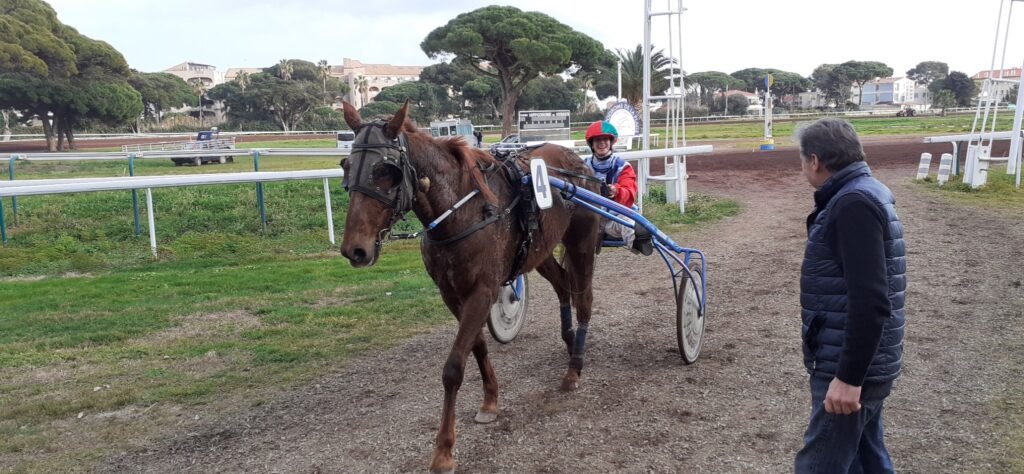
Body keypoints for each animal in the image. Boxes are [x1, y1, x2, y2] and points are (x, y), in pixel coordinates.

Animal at [339, 101, 602, 472]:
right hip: (539, 251)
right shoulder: (452, 294)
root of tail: (576, 161)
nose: (355, 249)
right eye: (346, 166)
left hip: (581, 242)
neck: (463, 211)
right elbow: (476, 346)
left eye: (385, 171)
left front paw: (443, 451)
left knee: (585, 299)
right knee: (564, 286)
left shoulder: (483, 291)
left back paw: (574, 368)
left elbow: (453, 368)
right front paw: (490, 401)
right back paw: (569, 341)